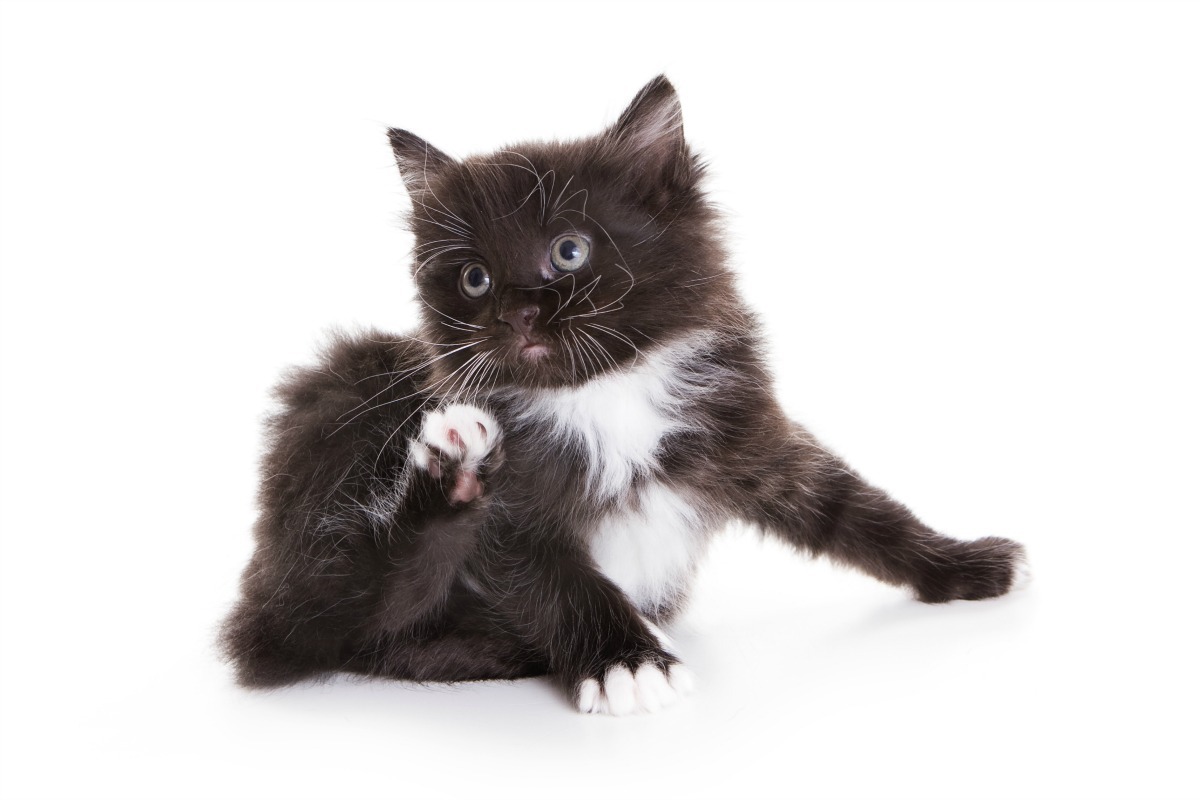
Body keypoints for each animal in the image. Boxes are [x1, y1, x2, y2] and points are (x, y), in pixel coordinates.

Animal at [220, 74, 1027, 714]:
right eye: (475, 278)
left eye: (569, 251)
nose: (516, 313)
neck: (603, 392)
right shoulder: (518, 518)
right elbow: (557, 580)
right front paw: (627, 663)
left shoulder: (747, 432)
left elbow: (854, 508)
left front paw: (964, 564)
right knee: (336, 616)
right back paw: (456, 480)